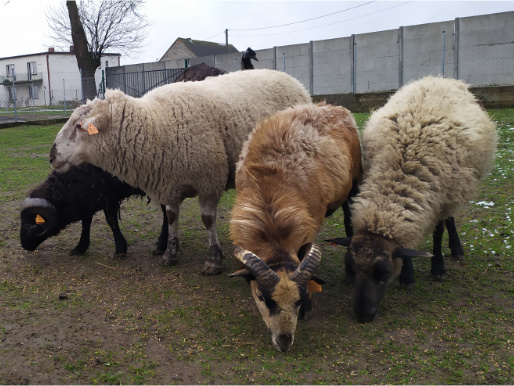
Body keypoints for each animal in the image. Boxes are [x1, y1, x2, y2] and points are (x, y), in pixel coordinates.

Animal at [18, 162, 165, 256]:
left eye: (31, 223)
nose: (24, 245)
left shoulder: (108, 197)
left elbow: (111, 221)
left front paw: (120, 249)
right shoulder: (88, 200)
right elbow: (86, 223)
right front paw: (80, 248)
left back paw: (161, 247)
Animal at [50, 68, 310, 274]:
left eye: (79, 126)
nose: (52, 155)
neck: (155, 124)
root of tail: (293, 80)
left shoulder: (208, 180)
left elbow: (207, 219)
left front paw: (213, 260)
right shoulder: (169, 182)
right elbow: (172, 218)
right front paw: (169, 254)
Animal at [326, 75, 494, 322]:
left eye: (385, 274)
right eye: (353, 269)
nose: (362, 315)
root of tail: (437, 78)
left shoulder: (439, 198)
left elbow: (438, 232)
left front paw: (437, 268)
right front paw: (408, 274)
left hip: (454, 188)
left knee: (450, 219)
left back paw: (456, 250)